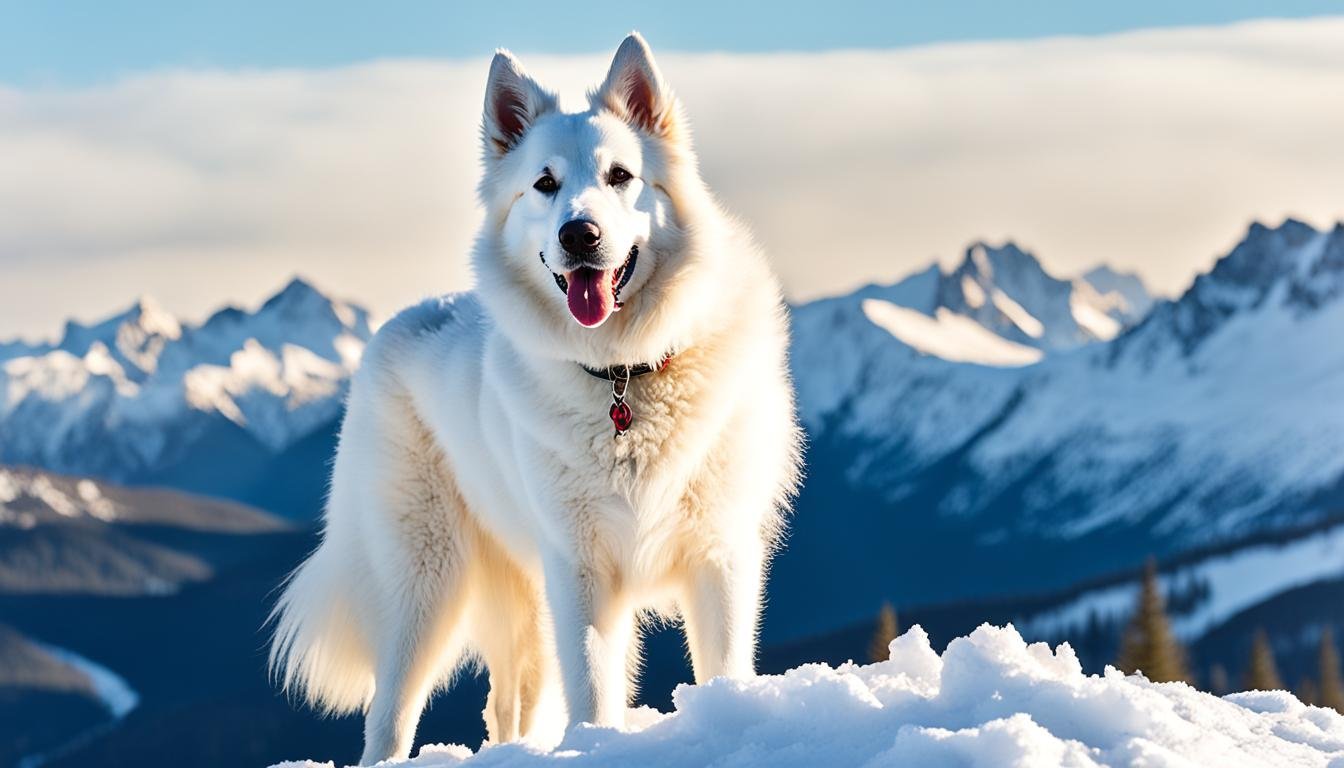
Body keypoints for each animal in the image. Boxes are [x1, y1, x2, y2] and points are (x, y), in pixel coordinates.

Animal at [267, 33, 801, 763]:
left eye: (620, 176)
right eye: (545, 185)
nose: (580, 235)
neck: (623, 375)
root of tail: (400, 321)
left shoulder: (718, 558)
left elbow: (720, 670)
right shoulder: (579, 570)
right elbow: (595, 693)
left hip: (519, 602)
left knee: (507, 707)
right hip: (424, 586)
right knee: (389, 716)